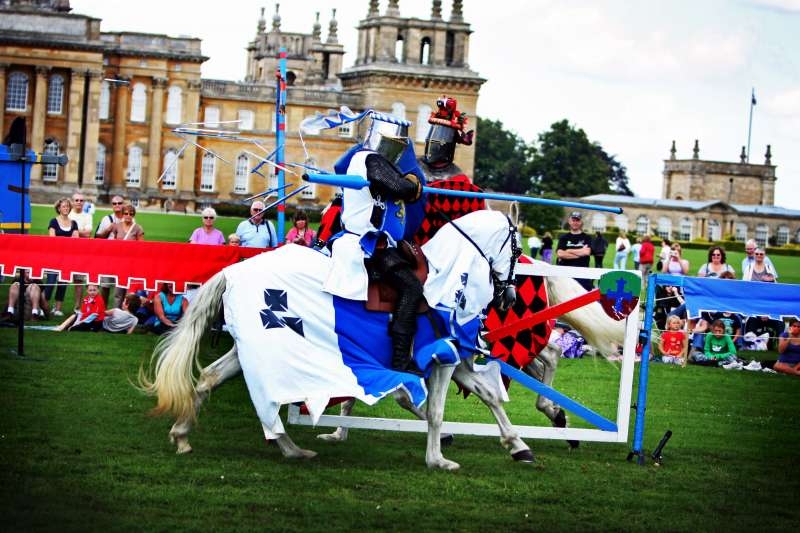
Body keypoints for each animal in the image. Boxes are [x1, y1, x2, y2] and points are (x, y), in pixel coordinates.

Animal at [141, 210, 536, 468]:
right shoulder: (442, 357)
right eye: (517, 251)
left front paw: (518, 446)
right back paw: (290, 449)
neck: (451, 276)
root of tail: (232, 272)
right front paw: (438, 459)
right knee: (265, 398)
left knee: (211, 378)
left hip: (248, 349)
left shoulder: (452, 357)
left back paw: (189, 437)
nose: (510, 297)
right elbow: (435, 411)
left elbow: (487, 396)